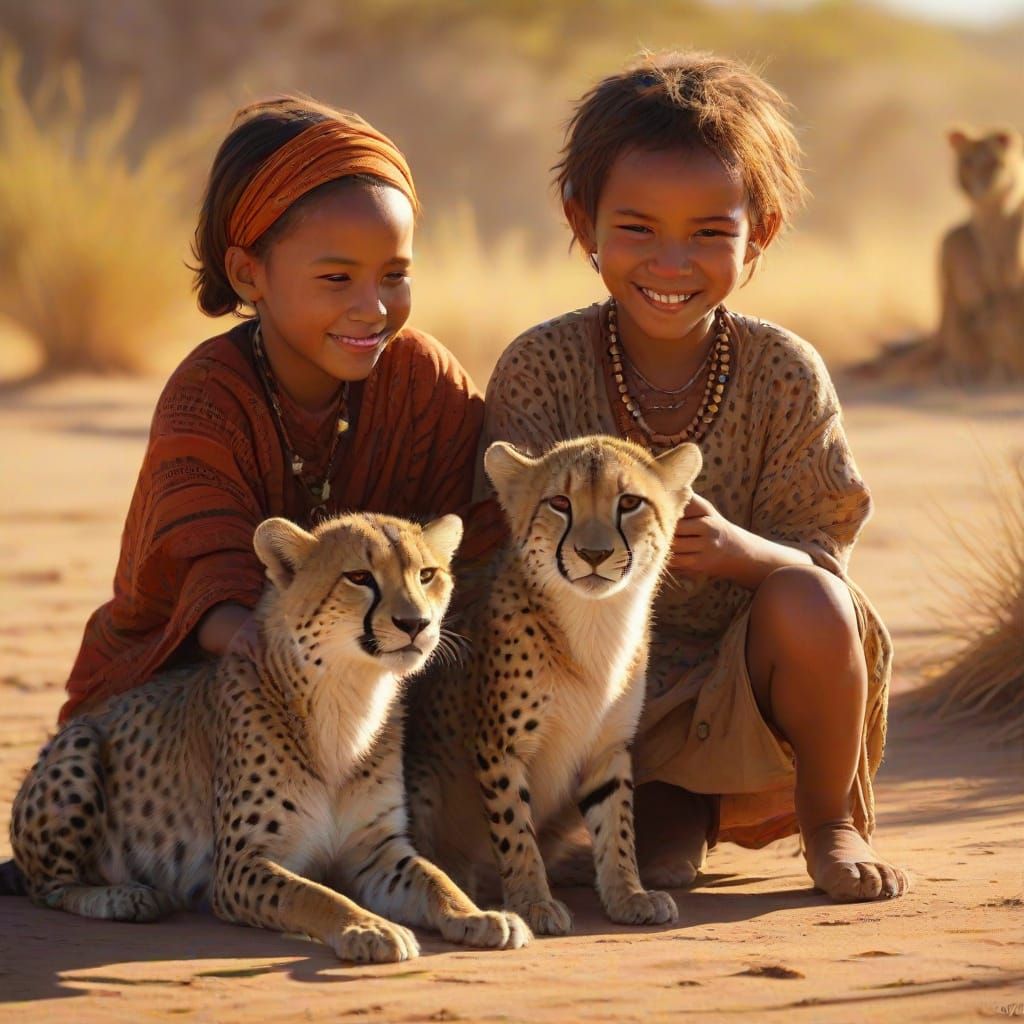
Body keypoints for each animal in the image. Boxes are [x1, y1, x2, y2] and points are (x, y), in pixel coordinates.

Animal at [10, 511, 530, 962]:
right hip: (79, 745)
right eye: (359, 577)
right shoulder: (243, 863)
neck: (348, 696)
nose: (415, 624)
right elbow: (315, 896)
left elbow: (436, 879)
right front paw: (369, 928)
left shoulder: (377, 851)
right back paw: (123, 897)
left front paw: (481, 915)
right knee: (47, 887)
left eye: (426, 575)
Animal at [405, 435, 702, 936]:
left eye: (630, 503)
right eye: (560, 503)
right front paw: (532, 902)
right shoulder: (499, 748)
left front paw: (628, 894)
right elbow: (514, 828)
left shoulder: (608, 747)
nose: (594, 554)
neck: (593, 622)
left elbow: (617, 824)